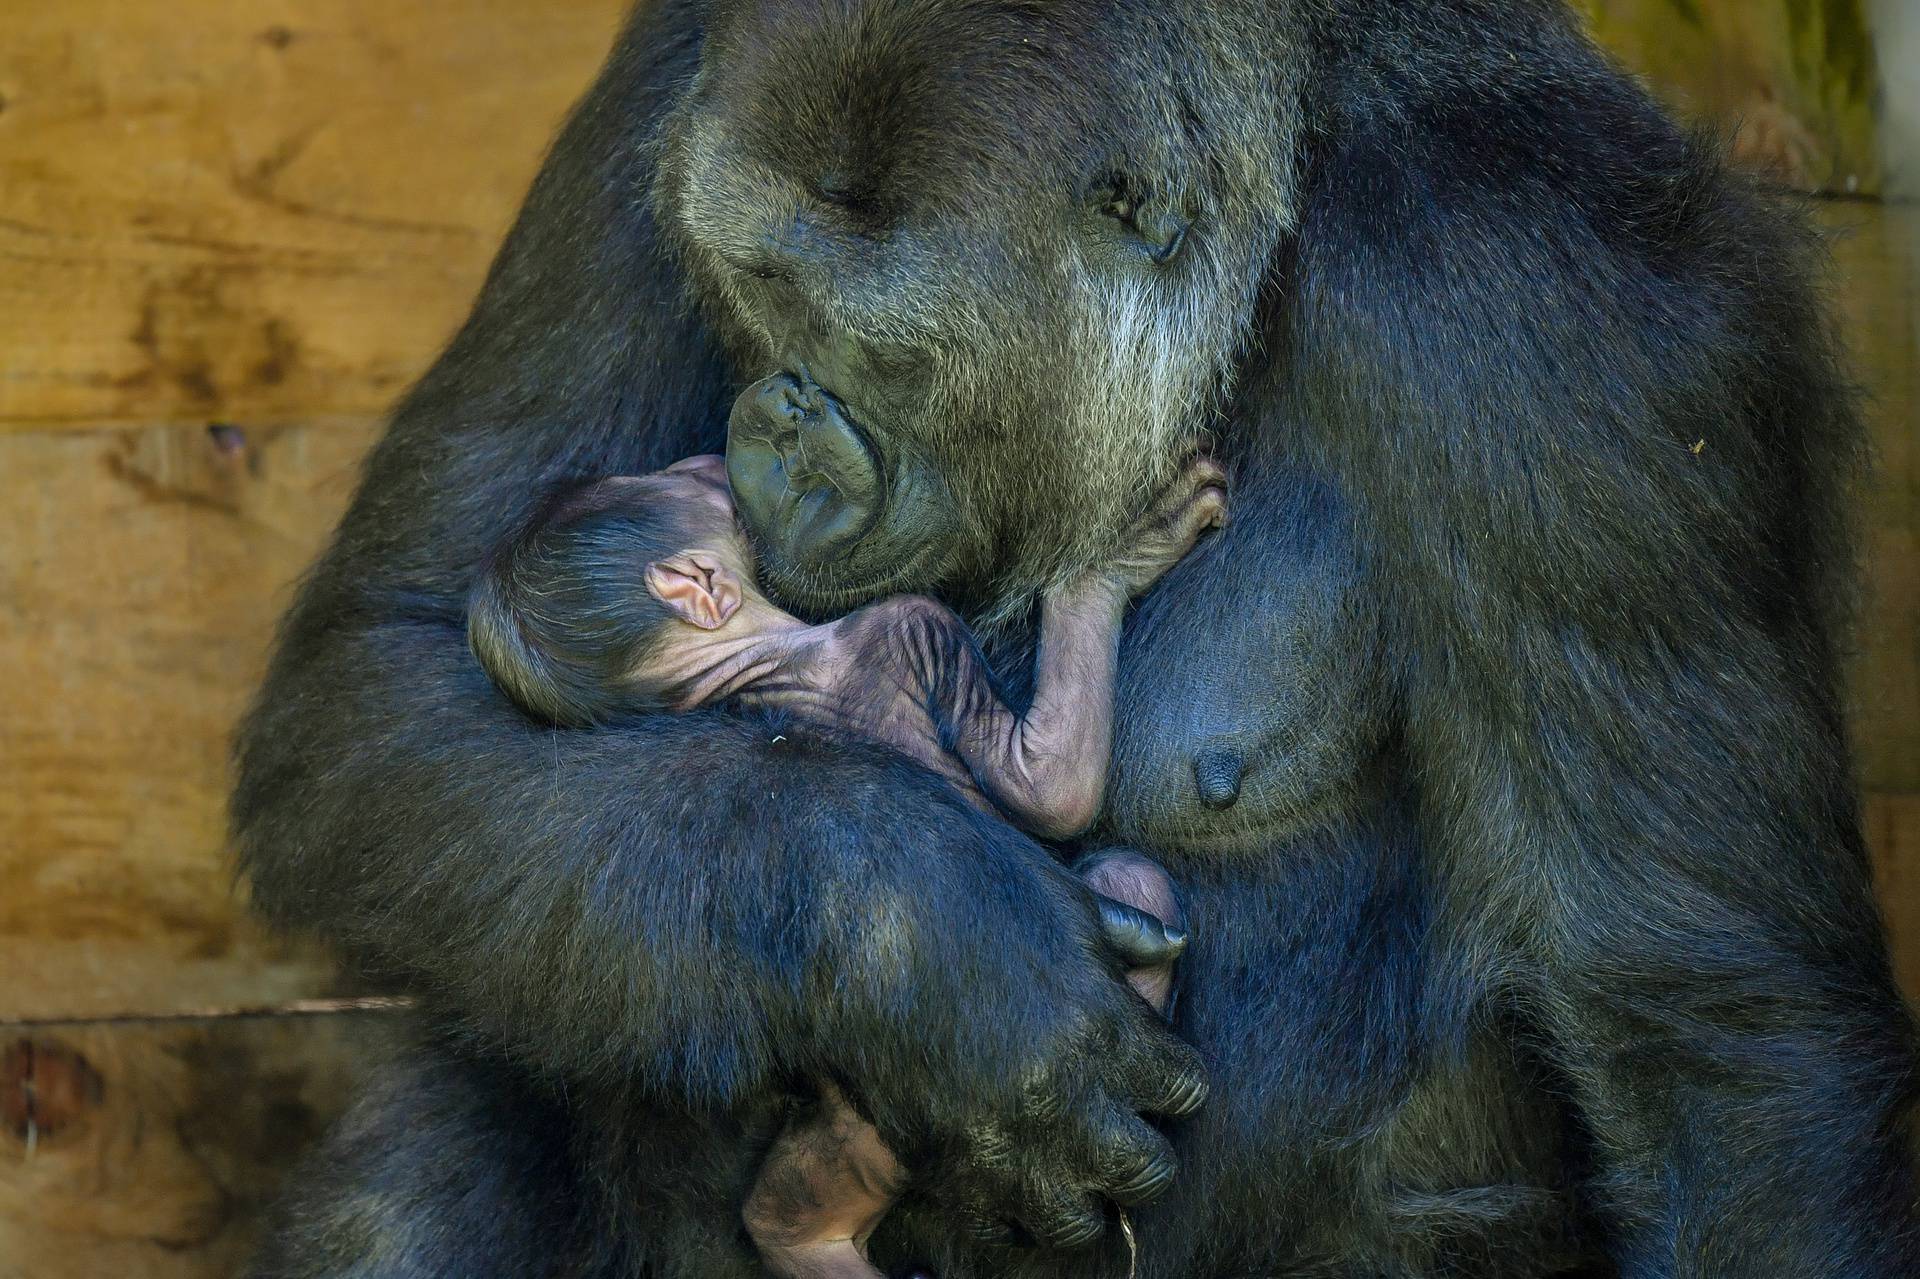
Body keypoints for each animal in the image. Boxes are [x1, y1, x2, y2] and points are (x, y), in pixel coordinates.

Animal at [458, 453, 1221, 1267]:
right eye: (685, 487)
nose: (704, 463)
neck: (752, 662)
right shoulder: (910, 622)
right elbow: (1052, 793)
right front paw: (1115, 564)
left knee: (784, 1213)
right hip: (896, 1138)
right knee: (1131, 880)